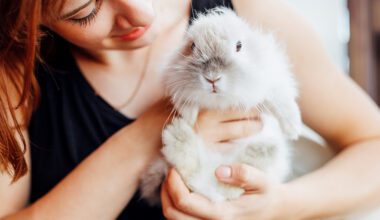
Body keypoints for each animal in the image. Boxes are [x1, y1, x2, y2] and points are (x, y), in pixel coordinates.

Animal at [140, 6, 302, 205]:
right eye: (192, 47)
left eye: (239, 46)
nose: (212, 77)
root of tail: (210, 189)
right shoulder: (175, 83)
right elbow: (185, 104)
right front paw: (190, 118)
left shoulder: (273, 79)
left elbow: (282, 101)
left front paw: (293, 129)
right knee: (193, 173)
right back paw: (178, 135)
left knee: (234, 186)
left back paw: (261, 150)